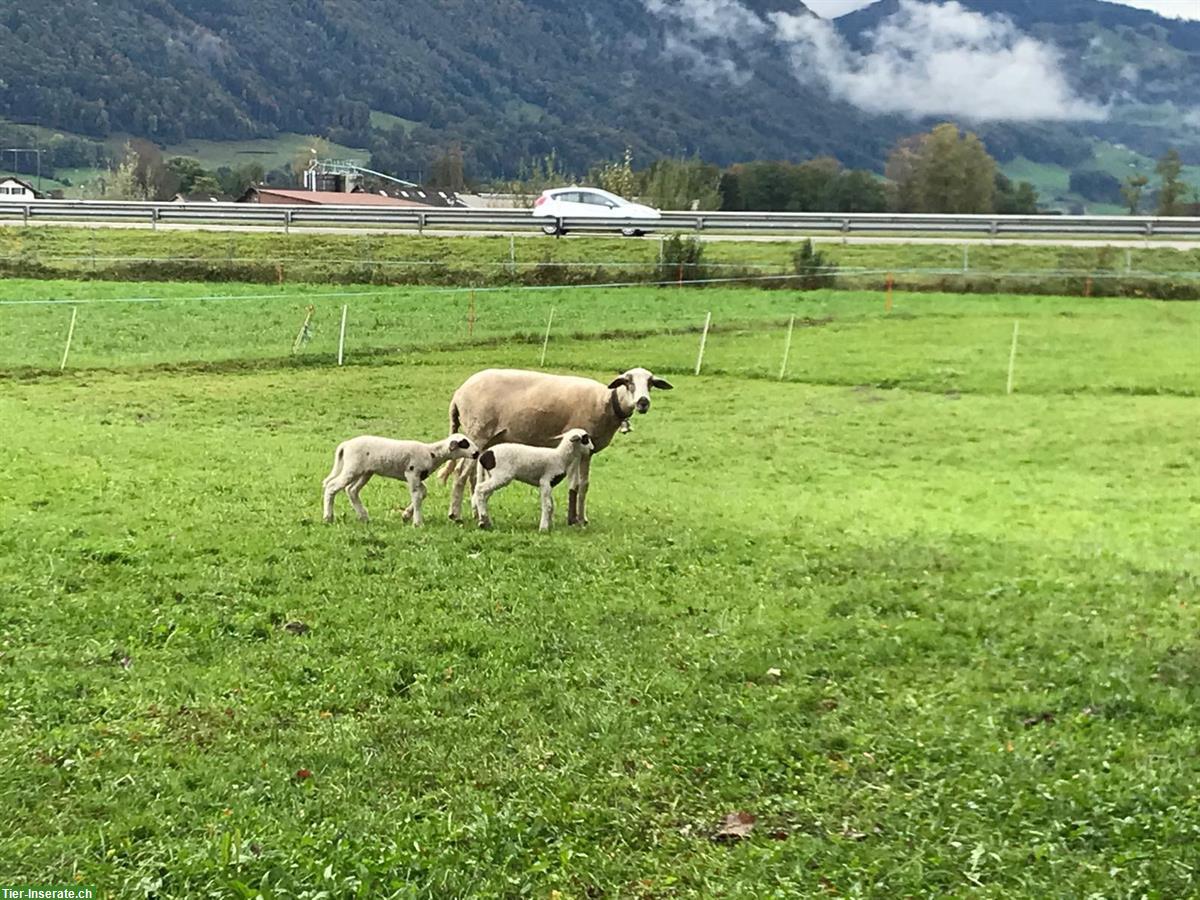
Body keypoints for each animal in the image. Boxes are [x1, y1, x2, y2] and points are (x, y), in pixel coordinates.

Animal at [328, 434, 482, 525]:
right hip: (352, 468)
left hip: (365, 472)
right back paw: (328, 517)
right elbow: (417, 496)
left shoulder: (418, 478)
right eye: (464, 443)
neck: (432, 453)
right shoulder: (411, 473)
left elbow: (423, 493)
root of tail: (346, 444)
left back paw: (363, 516)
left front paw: (407, 515)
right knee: (332, 486)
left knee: (351, 490)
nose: (477, 453)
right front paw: (418, 523)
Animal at [439, 364, 672, 525]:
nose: (643, 402)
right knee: (460, 474)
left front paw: (580, 518)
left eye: (651, 383)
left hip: (483, 440)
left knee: (472, 476)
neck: (606, 402)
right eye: (628, 382)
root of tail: (458, 394)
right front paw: (575, 520)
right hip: (478, 433)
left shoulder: (588, 451)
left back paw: (475, 512)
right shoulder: (580, 447)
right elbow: (577, 484)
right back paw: (456, 514)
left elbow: (582, 485)